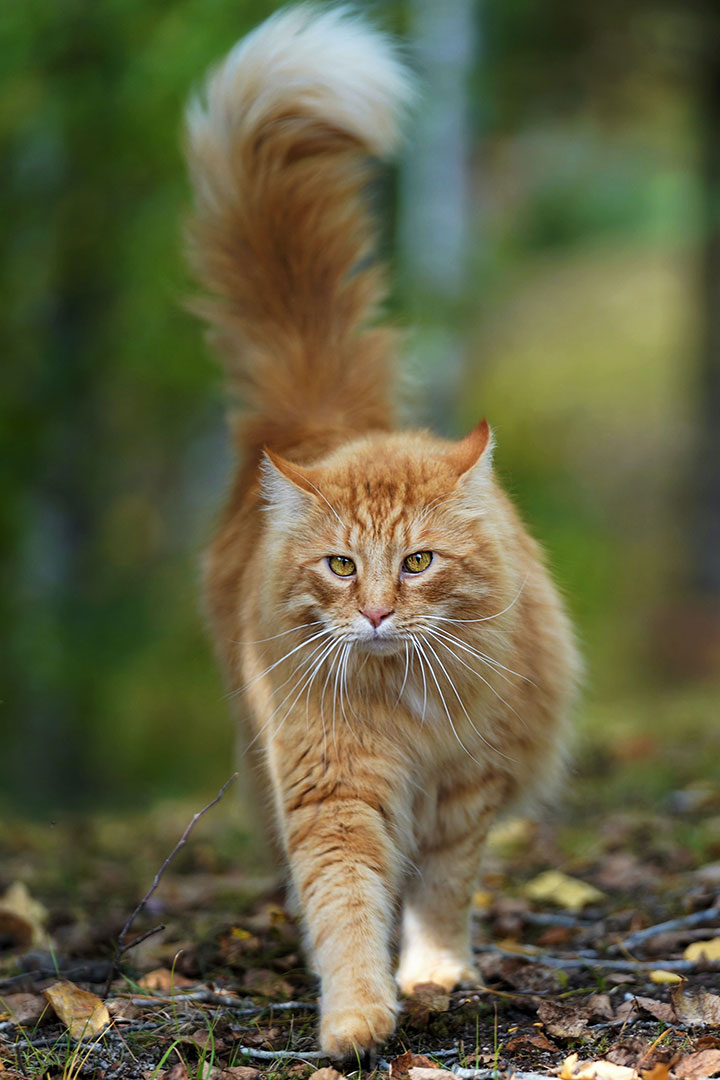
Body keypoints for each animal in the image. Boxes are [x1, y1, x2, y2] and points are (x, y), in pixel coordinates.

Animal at [184, 4, 578, 1058]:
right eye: (338, 566)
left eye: (417, 562)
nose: (370, 614)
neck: (403, 707)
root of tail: (324, 417)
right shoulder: (335, 789)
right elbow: (347, 902)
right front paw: (360, 1017)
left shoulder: (466, 789)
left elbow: (440, 893)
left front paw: (434, 976)